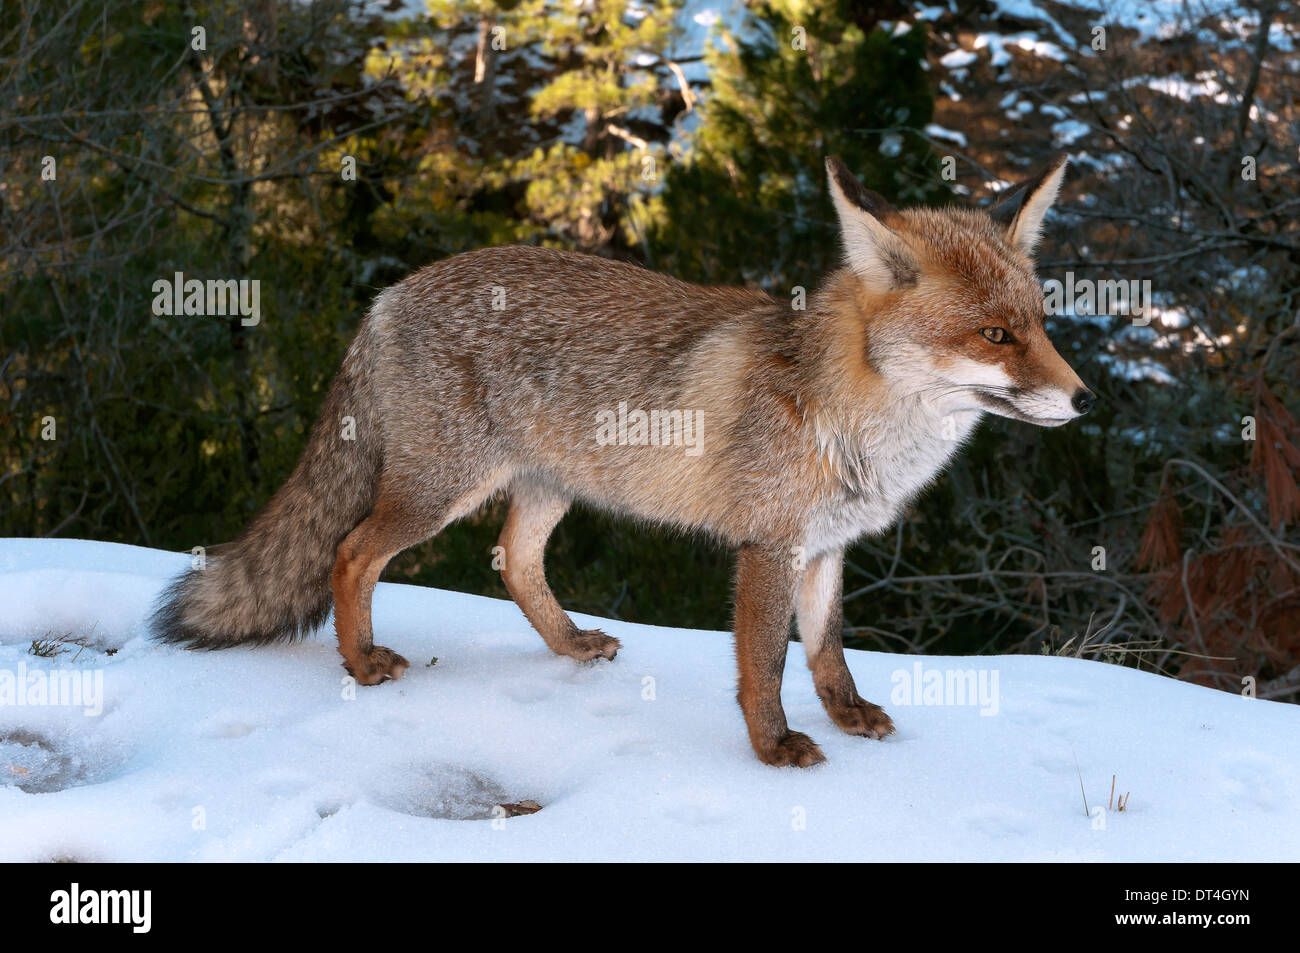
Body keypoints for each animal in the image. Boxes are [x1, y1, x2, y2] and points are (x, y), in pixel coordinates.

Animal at [149, 156, 1097, 764]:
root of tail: (387, 295)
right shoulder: (769, 546)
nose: (1086, 399)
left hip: (544, 489)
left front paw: (847, 714)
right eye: (995, 335)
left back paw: (568, 644)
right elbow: (764, 663)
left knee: (512, 560)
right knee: (350, 553)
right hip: (438, 491)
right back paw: (363, 663)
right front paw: (773, 746)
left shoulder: (828, 545)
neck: (855, 418)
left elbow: (827, 650)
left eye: (1040, 323)